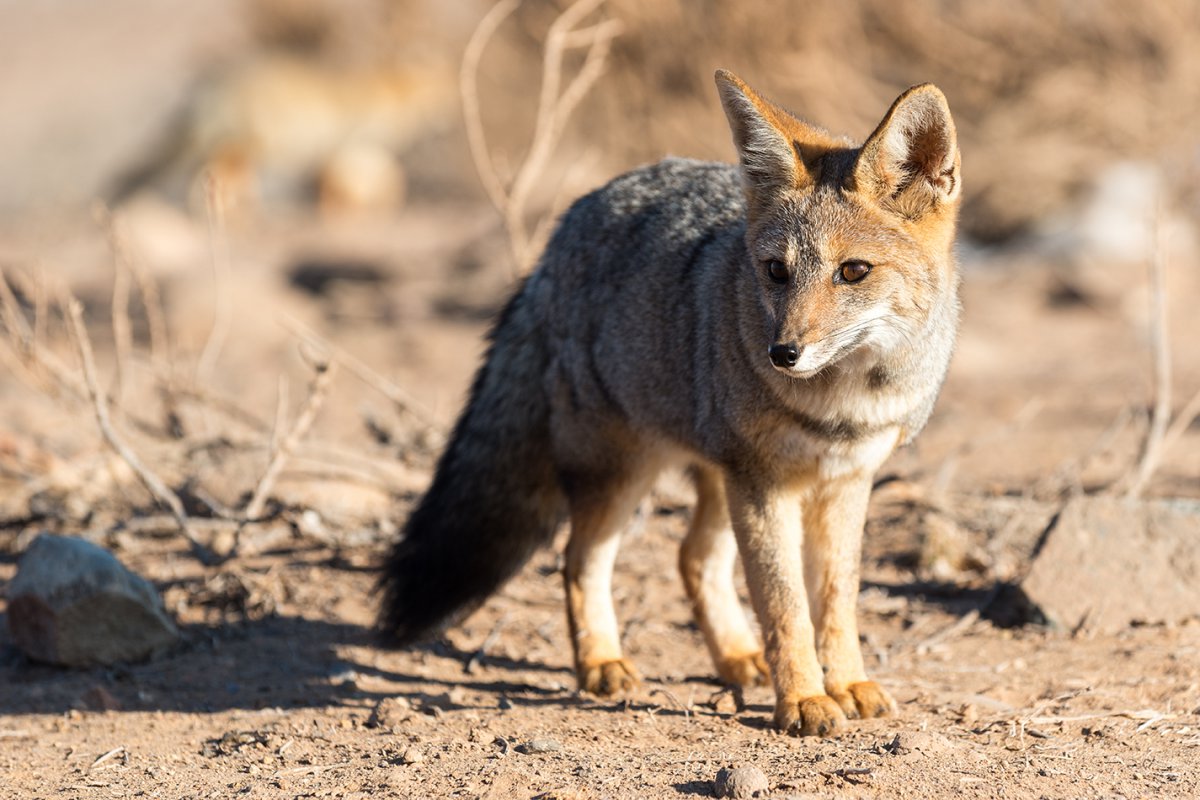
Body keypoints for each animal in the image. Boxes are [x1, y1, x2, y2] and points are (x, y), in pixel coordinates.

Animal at [379, 70, 960, 738]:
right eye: (775, 271)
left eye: (854, 272)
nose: (782, 352)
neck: (844, 407)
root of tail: (571, 221)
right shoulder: (767, 485)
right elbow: (786, 605)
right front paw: (804, 700)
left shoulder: (845, 483)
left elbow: (835, 600)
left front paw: (847, 684)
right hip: (628, 475)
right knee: (579, 560)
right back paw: (602, 662)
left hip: (715, 476)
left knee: (692, 558)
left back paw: (735, 656)